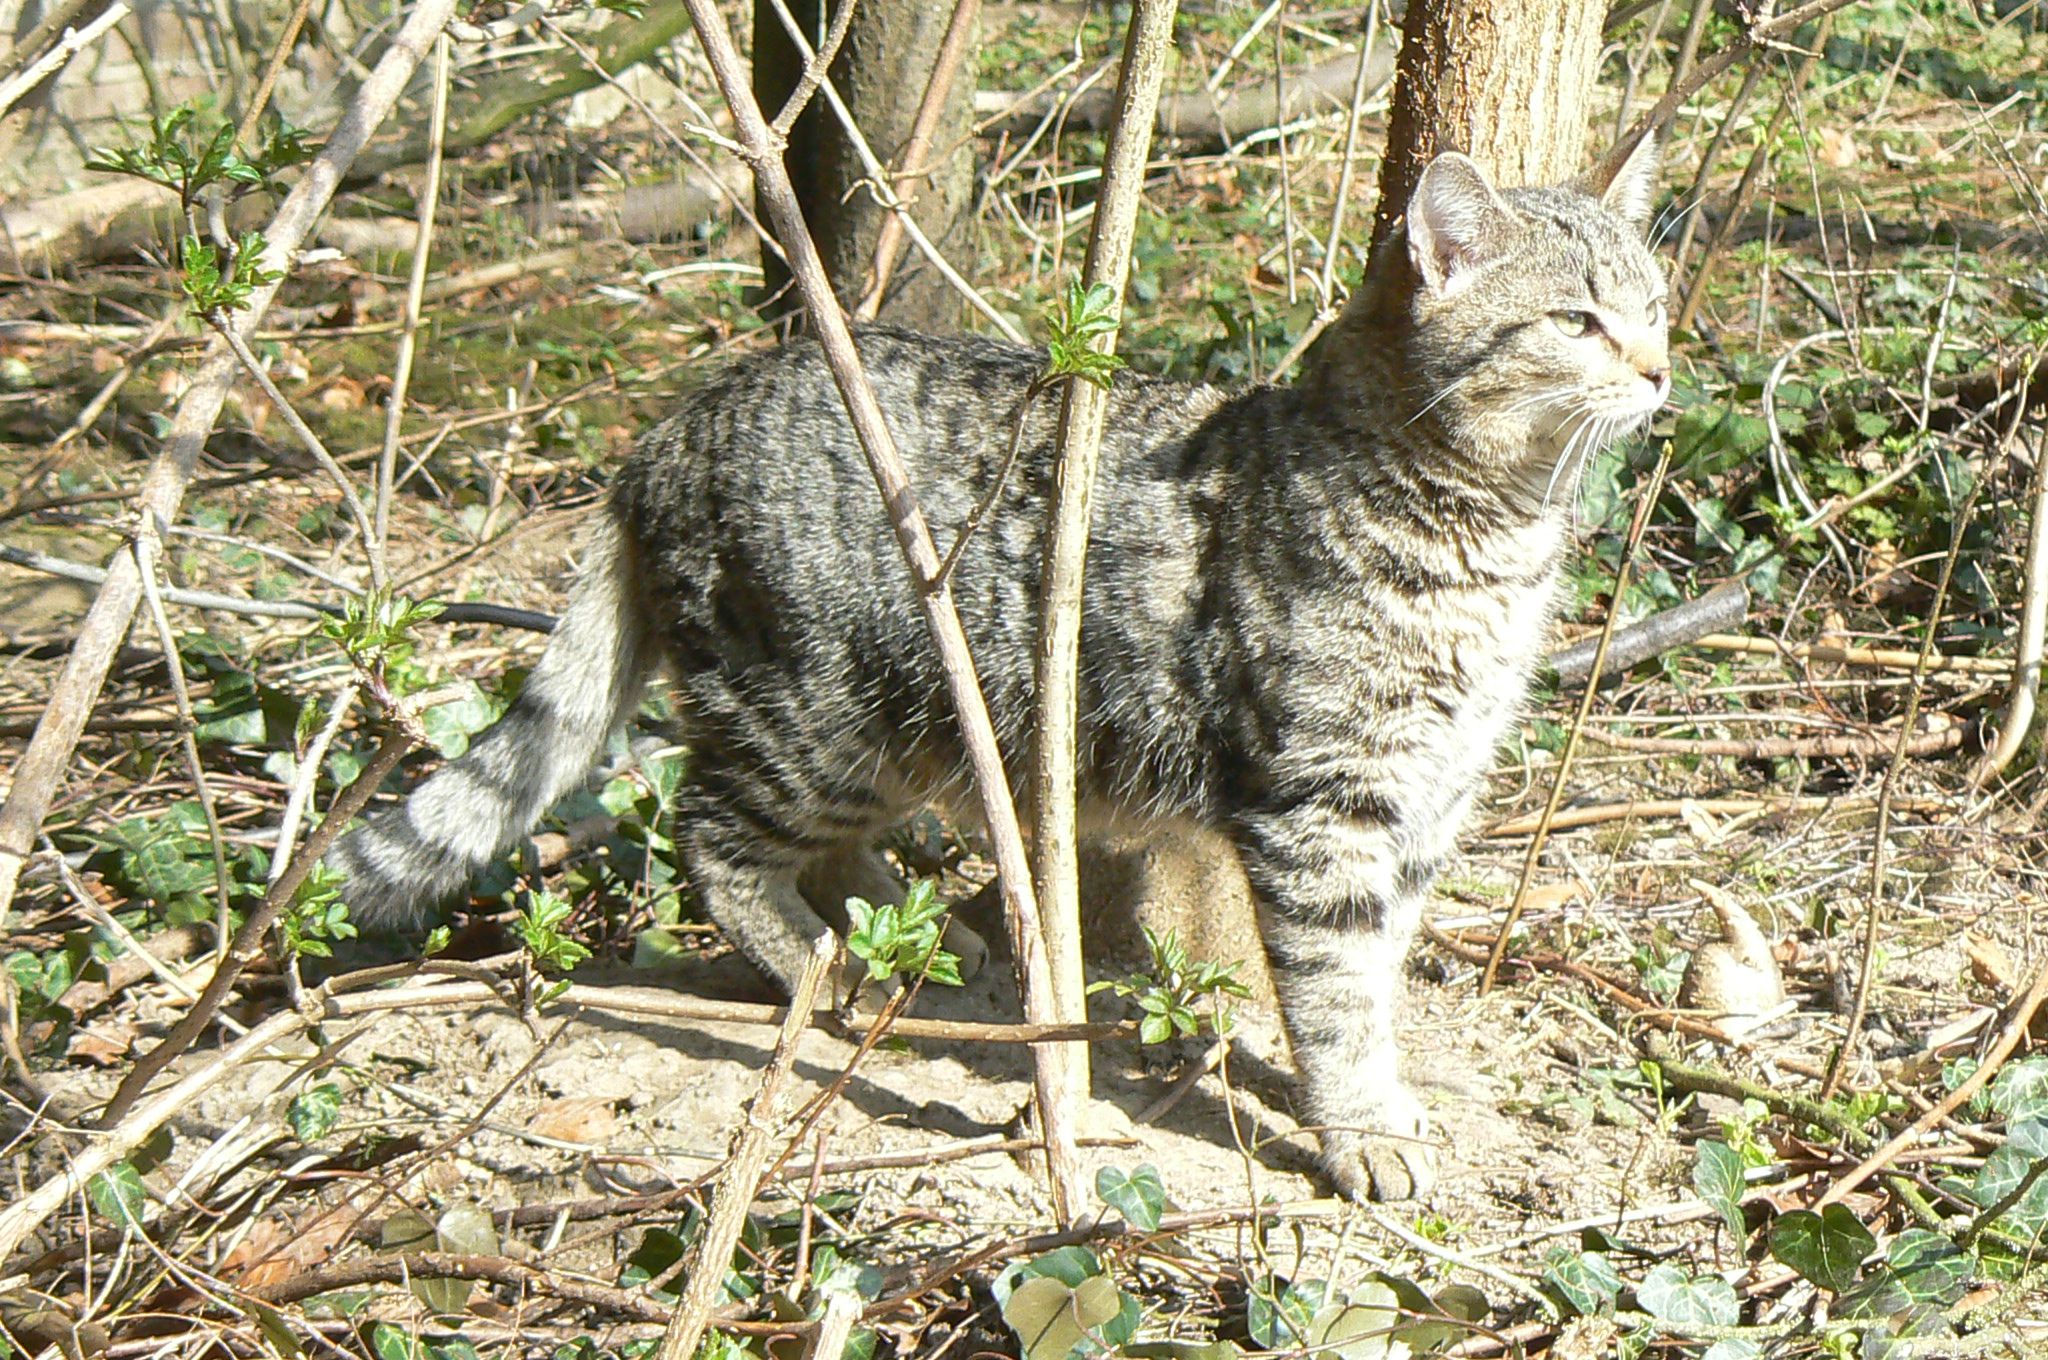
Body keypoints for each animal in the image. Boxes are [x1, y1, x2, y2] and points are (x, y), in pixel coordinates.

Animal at [327, 140, 1671, 1204]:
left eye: (1652, 304)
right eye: (1576, 322)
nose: (1660, 369)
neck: (1490, 542)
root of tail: (668, 427)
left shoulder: (1426, 798)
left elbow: (1378, 973)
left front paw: (1378, 1095)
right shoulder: (1321, 806)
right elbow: (1336, 991)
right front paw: (1357, 1128)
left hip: (893, 729)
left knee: (826, 850)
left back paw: (909, 939)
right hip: (812, 717)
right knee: (712, 834)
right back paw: (815, 960)